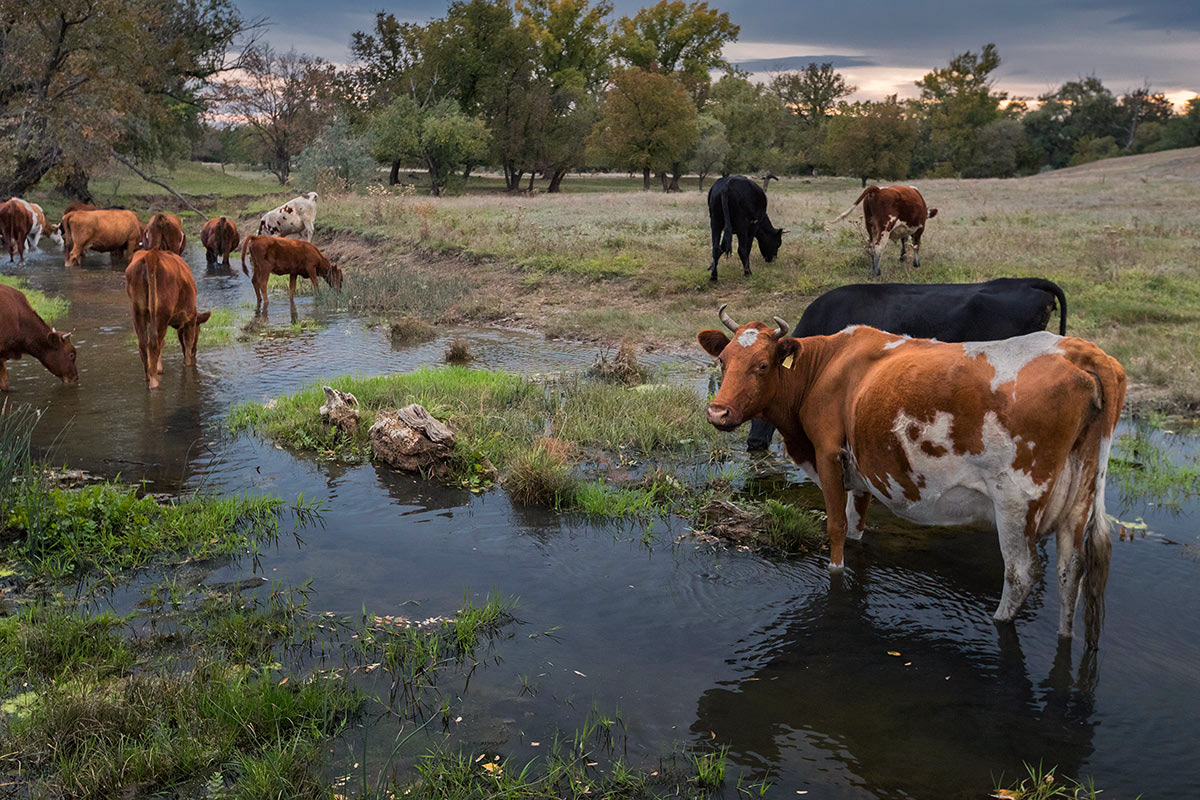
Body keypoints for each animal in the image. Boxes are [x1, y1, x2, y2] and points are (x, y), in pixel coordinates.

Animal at [127, 248, 212, 388]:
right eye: (199, 330)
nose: (195, 353)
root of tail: (151, 254)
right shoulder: (190, 319)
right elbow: (187, 345)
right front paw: (188, 363)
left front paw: (159, 369)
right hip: (161, 314)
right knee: (154, 344)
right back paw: (154, 382)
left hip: (137, 312)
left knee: (144, 345)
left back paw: (148, 376)